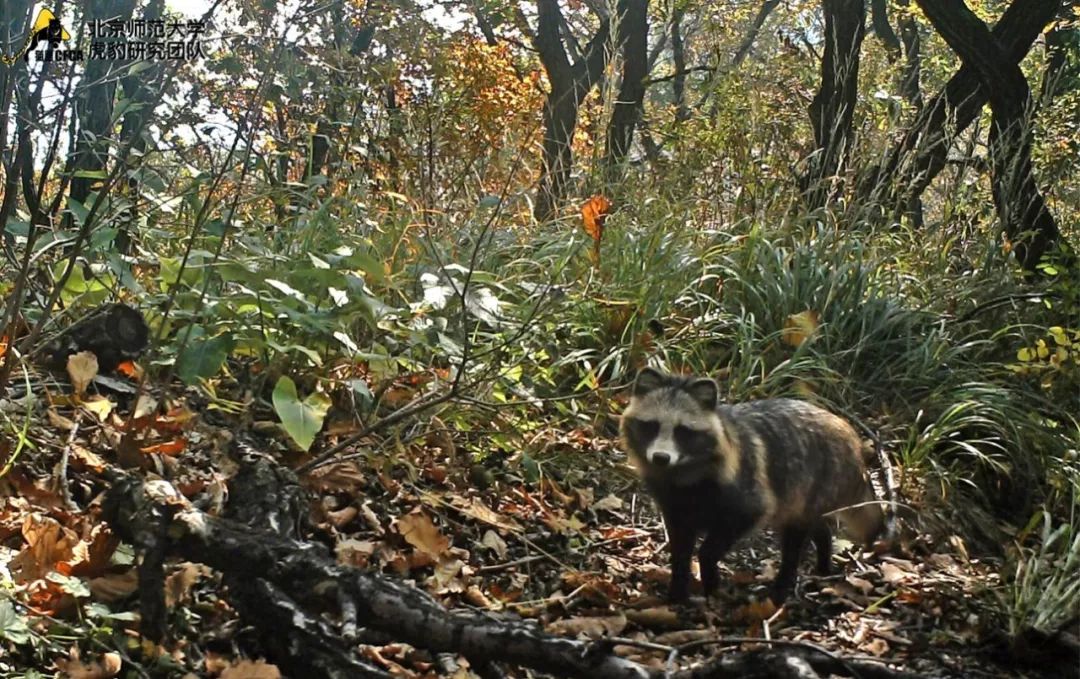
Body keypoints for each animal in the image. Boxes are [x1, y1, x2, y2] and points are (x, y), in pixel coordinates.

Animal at [622, 367, 881, 600]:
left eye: (682, 431)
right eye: (652, 426)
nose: (660, 458)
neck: (683, 473)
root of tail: (850, 434)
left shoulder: (744, 494)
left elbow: (715, 544)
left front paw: (710, 581)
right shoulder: (675, 503)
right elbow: (680, 548)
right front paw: (678, 588)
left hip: (815, 481)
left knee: (795, 535)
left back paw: (784, 582)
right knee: (817, 524)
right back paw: (823, 558)